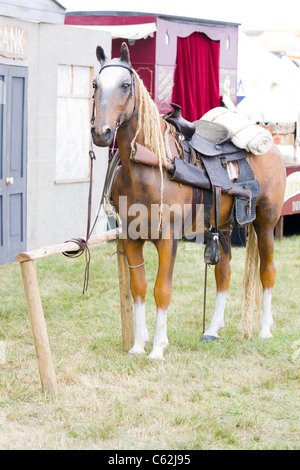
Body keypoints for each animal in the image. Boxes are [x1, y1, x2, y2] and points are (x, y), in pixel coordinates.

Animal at [91, 43, 286, 360]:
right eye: (96, 84)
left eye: (125, 85)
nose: (101, 132)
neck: (149, 164)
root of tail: (272, 147)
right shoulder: (131, 237)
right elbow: (138, 287)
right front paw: (138, 344)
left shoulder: (168, 239)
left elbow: (162, 289)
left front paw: (158, 347)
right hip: (223, 226)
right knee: (223, 271)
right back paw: (212, 329)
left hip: (266, 222)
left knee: (267, 271)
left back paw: (265, 330)